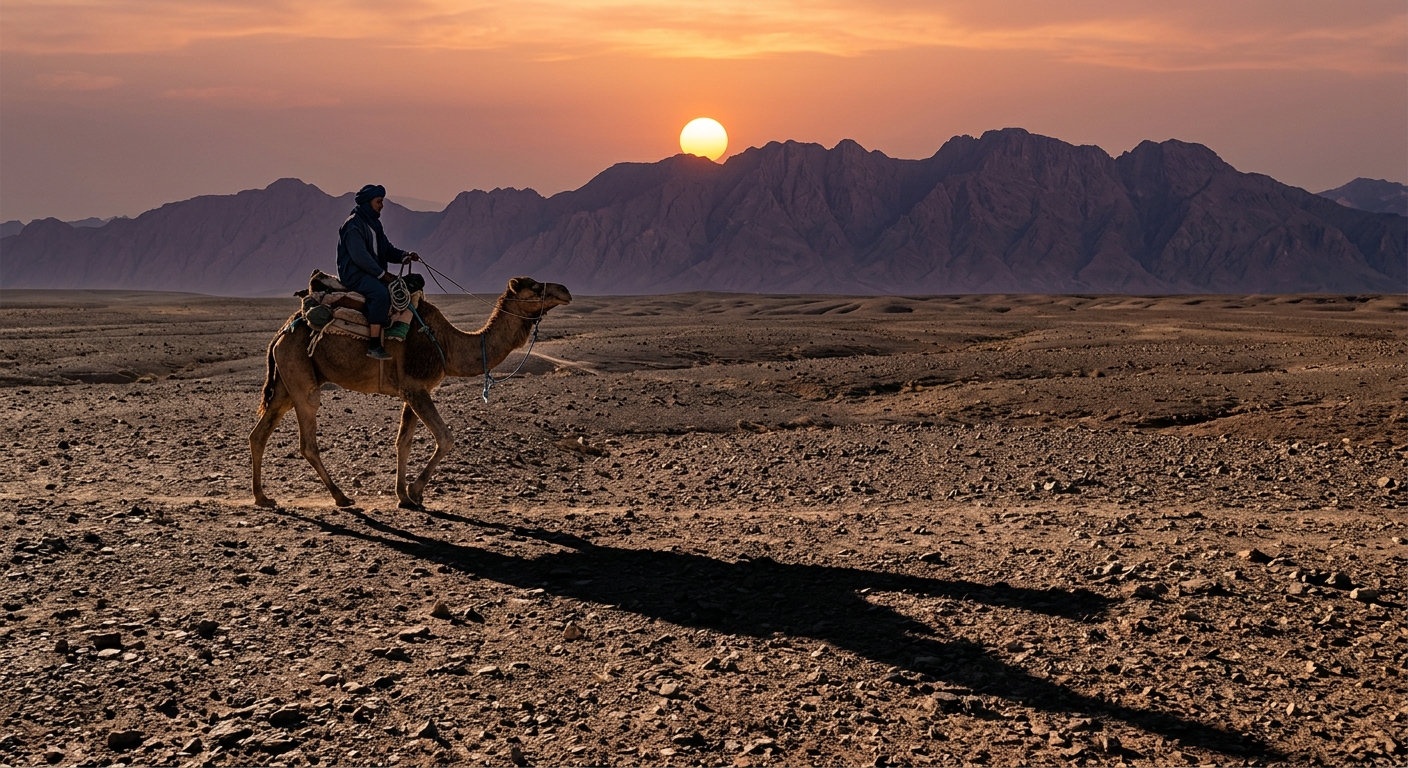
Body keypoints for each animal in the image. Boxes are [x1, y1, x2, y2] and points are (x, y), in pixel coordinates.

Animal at [250, 277, 572, 510]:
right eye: (535, 286)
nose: (566, 290)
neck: (448, 345)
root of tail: (280, 333)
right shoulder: (416, 387)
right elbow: (445, 438)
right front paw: (416, 492)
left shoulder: (413, 390)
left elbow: (402, 442)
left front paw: (403, 495)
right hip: (300, 375)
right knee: (307, 439)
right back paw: (341, 497)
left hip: (286, 381)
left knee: (259, 433)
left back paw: (262, 497)